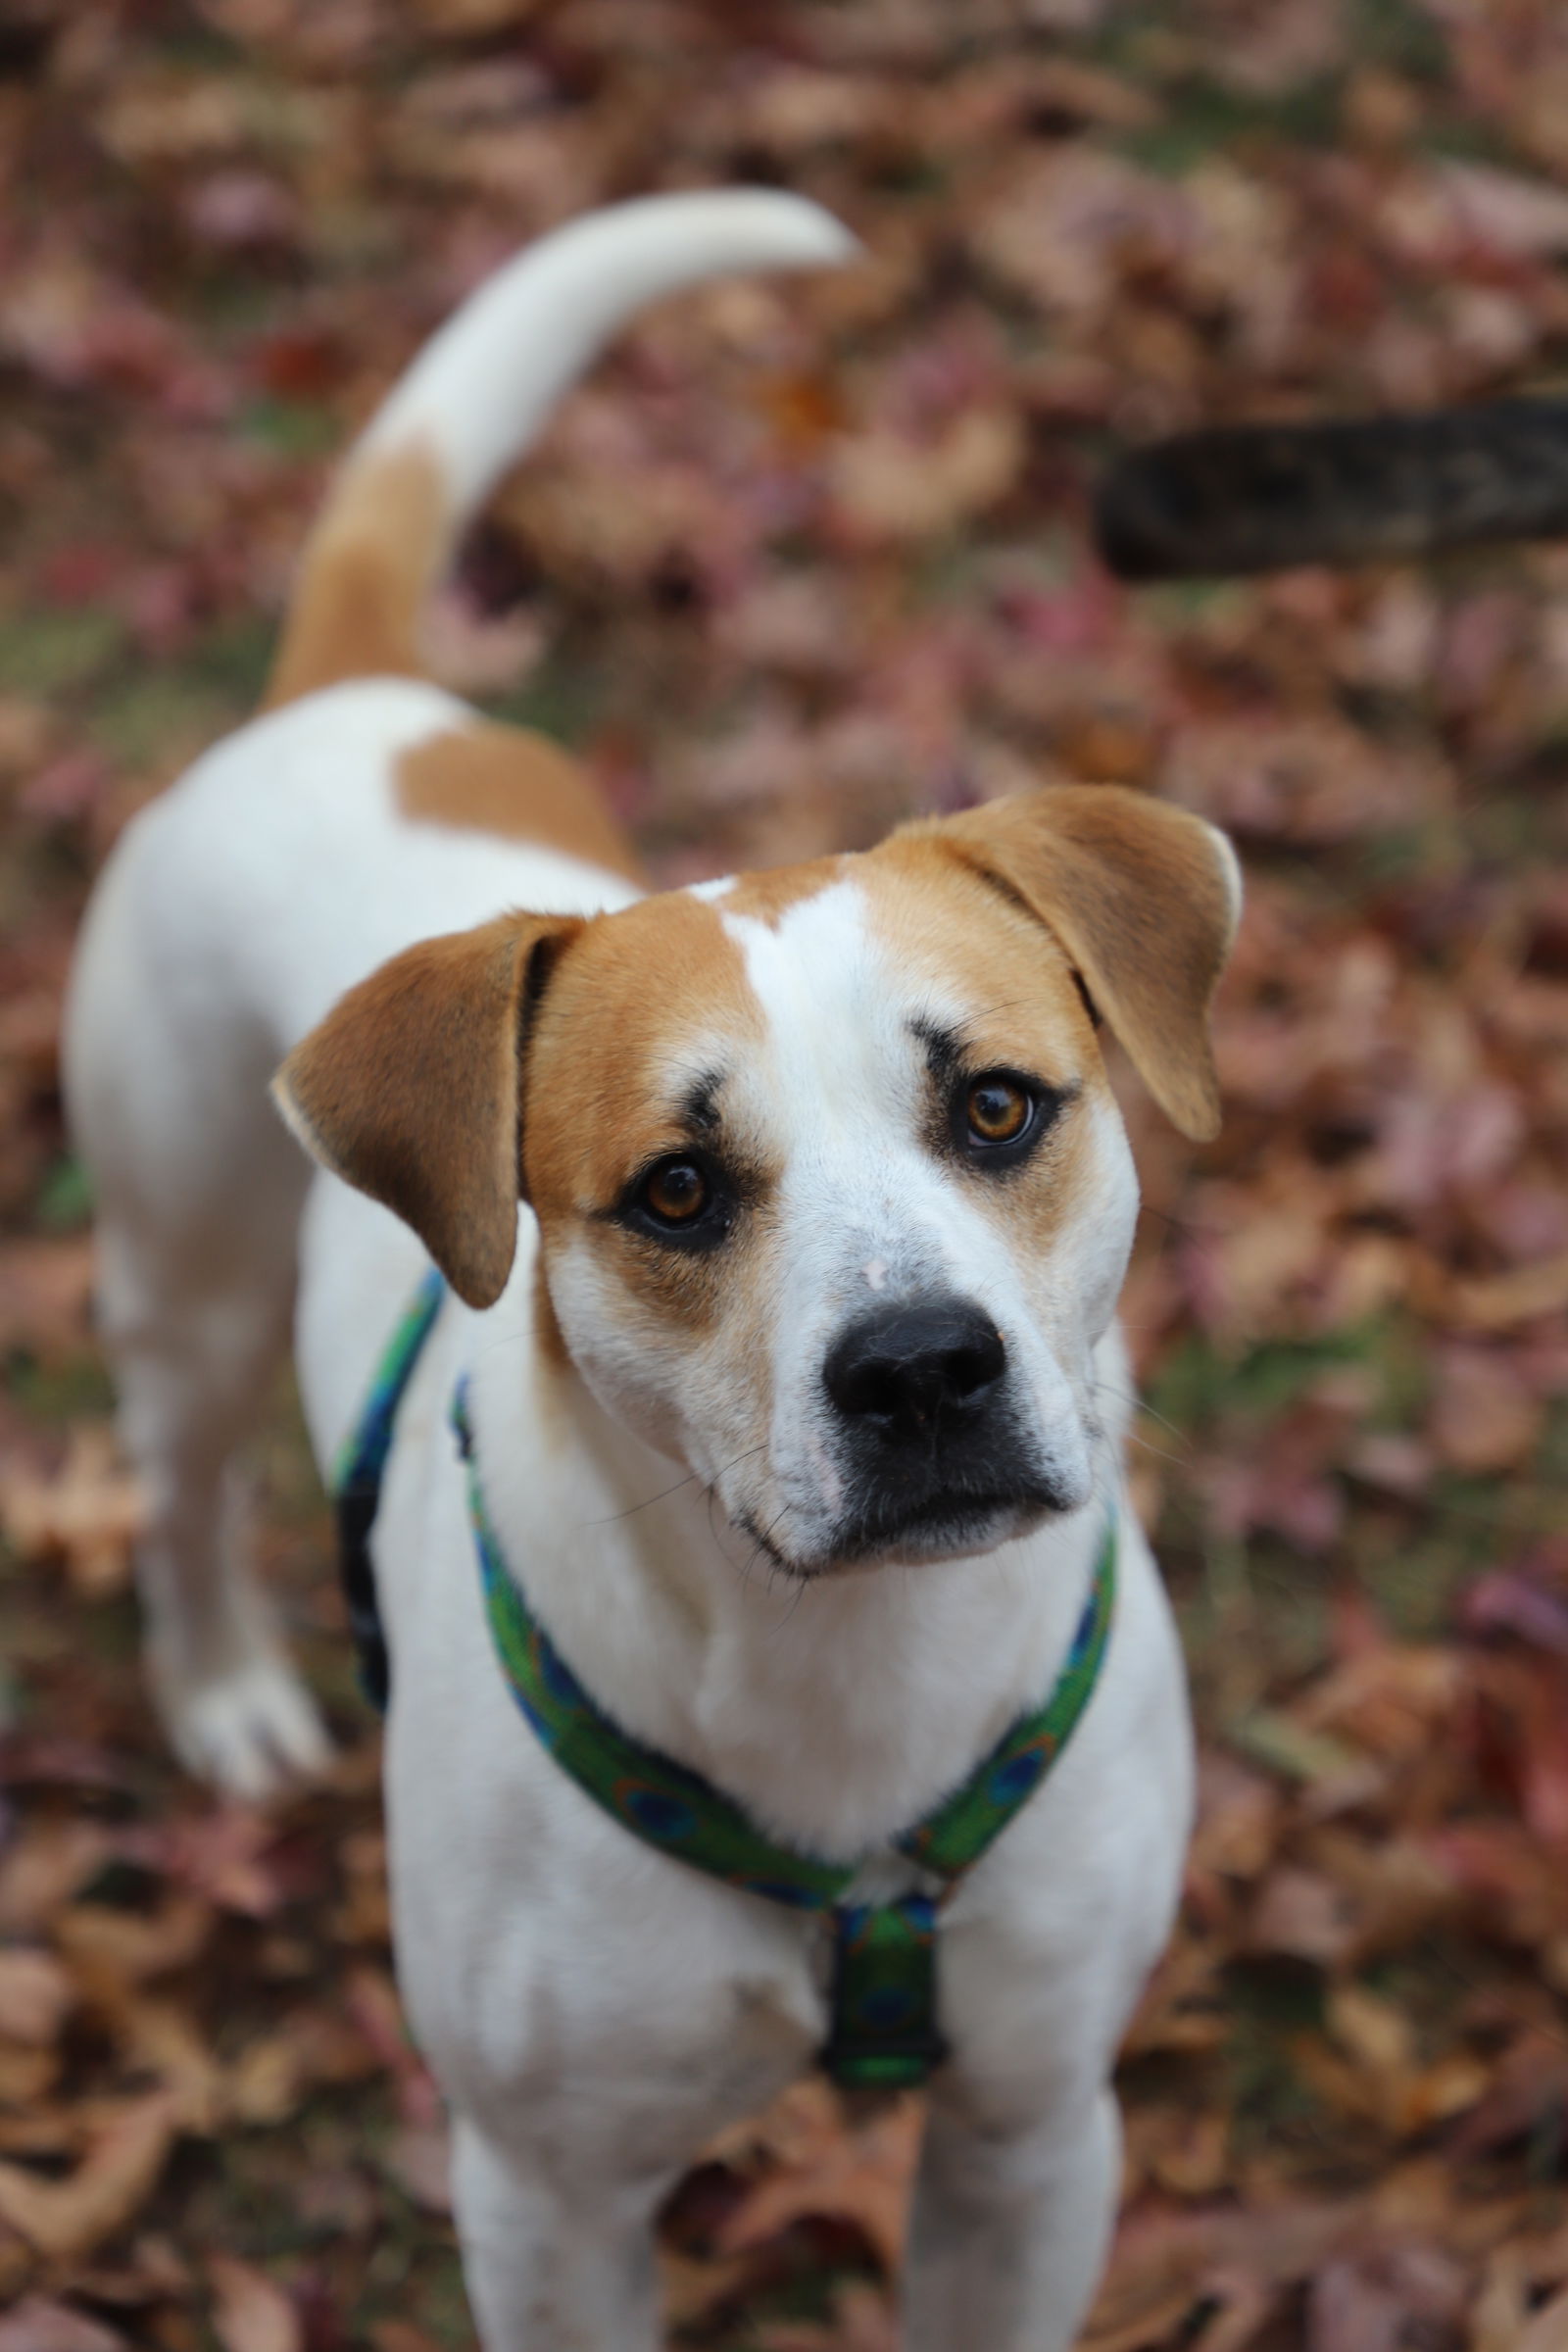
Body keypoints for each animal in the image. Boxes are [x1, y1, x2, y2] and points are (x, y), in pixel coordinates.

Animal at [64, 192, 1241, 2342]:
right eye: (678, 1194)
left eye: (998, 1107)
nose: (921, 1370)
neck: (841, 1669)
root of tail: (348, 698)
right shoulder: (546, 2200)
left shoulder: (1035, 2137)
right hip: (179, 1261)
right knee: (178, 1484)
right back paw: (226, 1692)